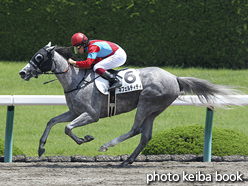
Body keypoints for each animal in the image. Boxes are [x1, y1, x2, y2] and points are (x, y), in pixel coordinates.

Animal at [18, 42, 240, 167]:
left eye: (39, 57)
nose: (22, 72)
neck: (76, 80)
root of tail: (174, 78)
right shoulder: (74, 112)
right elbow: (52, 121)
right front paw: (41, 148)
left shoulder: (91, 114)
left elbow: (67, 128)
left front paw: (85, 139)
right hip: (155, 109)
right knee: (145, 135)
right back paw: (127, 160)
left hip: (146, 102)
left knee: (136, 129)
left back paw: (106, 146)